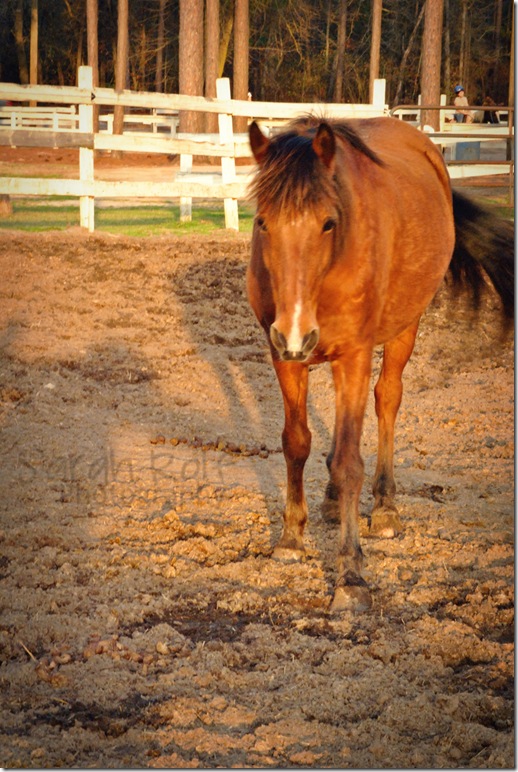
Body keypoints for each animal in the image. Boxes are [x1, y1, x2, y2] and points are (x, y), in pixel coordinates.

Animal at [248, 114, 516, 612]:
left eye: (328, 223)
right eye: (262, 222)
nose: (295, 331)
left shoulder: (353, 353)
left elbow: (350, 461)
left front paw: (351, 575)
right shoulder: (283, 354)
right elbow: (297, 442)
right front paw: (292, 537)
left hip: (402, 330)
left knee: (387, 400)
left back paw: (385, 507)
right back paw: (333, 501)